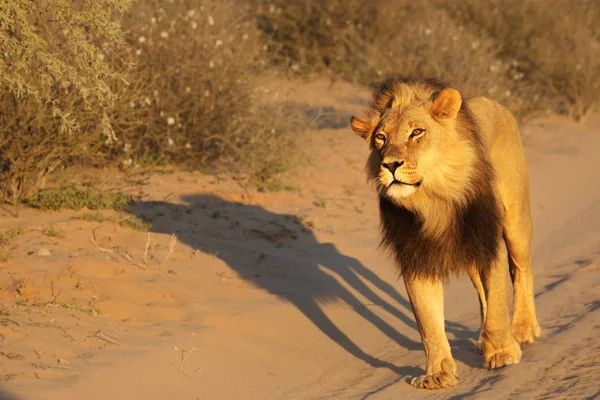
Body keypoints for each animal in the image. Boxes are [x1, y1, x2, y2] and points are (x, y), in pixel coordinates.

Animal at [350, 77, 540, 388]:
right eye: (381, 137)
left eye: (416, 132)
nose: (390, 164)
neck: (434, 198)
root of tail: (495, 103)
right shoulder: (415, 255)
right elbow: (428, 323)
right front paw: (437, 373)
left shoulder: (487, 237)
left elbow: (499, 299)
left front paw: (502, 351)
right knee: (482, 290)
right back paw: (483, 341)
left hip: (515, 220)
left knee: (522, 269)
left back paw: (524, 329)